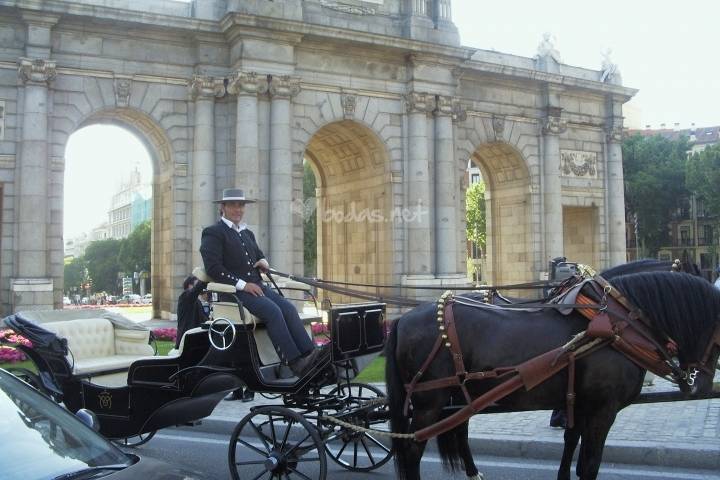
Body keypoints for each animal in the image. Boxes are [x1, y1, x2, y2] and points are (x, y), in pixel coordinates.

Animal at [388, 270, 720, 480]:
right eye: (718, 338)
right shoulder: (603, 409)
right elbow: (589, 465)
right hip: (429, 402)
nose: (702, 385)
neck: (617, 324)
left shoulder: (579, 403)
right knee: (412, 448)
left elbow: (571, 446)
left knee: (455, 432)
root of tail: (403, 319)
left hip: (457, 396)